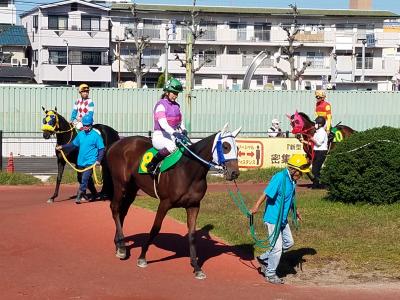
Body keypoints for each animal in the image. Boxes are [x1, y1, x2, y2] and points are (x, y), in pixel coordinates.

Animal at [106, 123, 241, 278]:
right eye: (225, 146)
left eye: (237, 148)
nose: (234, 173)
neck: (188, 170)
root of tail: (116, 144)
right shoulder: (164, 203)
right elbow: (155, 229)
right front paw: (142, 257)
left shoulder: (194, 206)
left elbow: (192, 235)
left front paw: (196, 267)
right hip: (120, 184)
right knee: (115, 208)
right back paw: (122, 248)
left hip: (132, 189)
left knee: (123, 212)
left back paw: (119, 244)